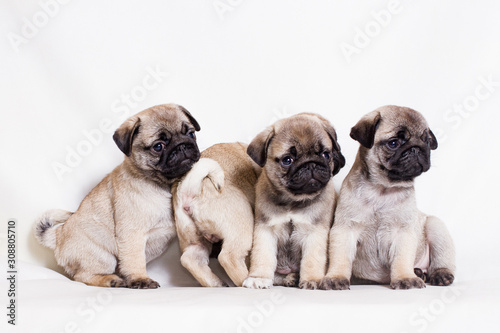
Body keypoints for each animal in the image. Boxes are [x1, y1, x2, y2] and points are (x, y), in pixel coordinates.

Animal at [32, 104, 201, 288]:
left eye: (191, 134)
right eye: (158, 146)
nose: (182, 145)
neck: (162, 184)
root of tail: (58, 235)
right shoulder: (132, 234)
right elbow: (135, 260)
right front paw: (141, 279)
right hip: (103, 257)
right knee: (82, 276)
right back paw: (110, 280)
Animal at [172, 142, 260, 286]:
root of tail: (187, 190)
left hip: (195, 240)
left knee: (190, 259)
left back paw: (217, 284)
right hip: (242, 222)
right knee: (229, 257)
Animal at [241, 112, 344, 288]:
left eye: (325, 154)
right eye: (287, 160)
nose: (310, 164)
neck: (292, 200)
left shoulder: (314, 232)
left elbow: (311, 260)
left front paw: (312, 280)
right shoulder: (266, 230)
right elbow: (262, 257)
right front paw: (258, 277)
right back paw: (290, 278)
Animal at [320, 105, 458, 290]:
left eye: (427, 141)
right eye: (394, 143)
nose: (416, 148)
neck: (382, 189)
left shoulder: (403, 232)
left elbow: (401, 258)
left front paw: (405, 278)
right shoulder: (345, 229)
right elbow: (341, 257)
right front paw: (336, 277)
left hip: (436, 226)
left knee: (442, 259)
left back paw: (438, 274)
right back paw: (419, 272)